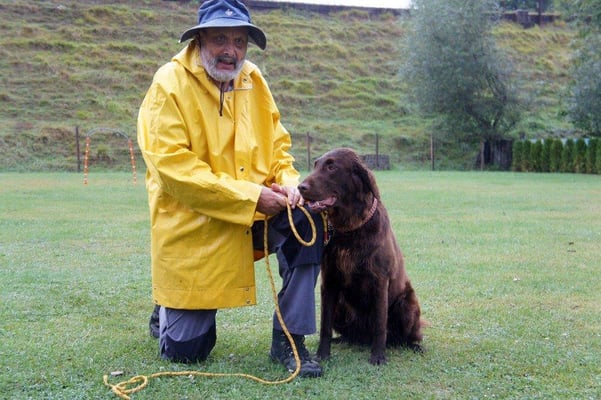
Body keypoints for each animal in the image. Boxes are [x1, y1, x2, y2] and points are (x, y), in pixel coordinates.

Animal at [299, 148, 423, 365]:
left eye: (331, 167)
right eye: (315, 165)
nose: (300, 187)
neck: (350, 229)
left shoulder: (380, 281)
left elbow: (380, 325)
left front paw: (378, 357)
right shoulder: (329, 282)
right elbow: (324, 326)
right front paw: (323, 355)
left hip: (407, 304)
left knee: (405, 336)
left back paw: (414, 346)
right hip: (341, 307)